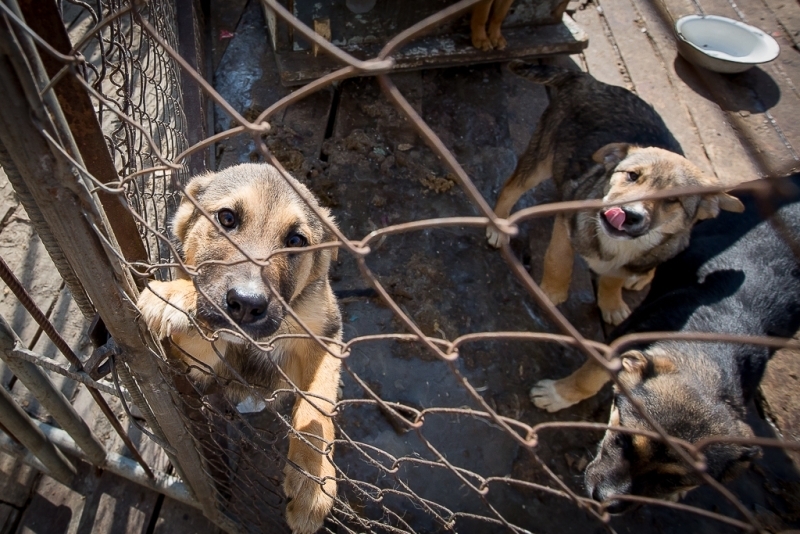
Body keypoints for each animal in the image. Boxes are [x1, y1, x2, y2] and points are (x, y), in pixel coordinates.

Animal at [138, 163, 344, 534]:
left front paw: (313, 480)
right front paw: (179, 294)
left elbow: (316, 408)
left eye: (295, 241)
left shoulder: (326, 335)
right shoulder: (197, 361)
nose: (247, 305)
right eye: (227, 218)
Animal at [488, 65, 744, 328]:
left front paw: (611, 304)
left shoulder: (628, 262)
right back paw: (498, 226)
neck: (619, 244)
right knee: (511, 188)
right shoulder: (567, 220)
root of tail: (589, 80)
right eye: (632, 175)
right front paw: (551, 294)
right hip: (542, 156)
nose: (628, 214)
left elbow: (614, 279)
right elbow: (559, 259)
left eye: (673, 199)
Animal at [532, 179, 800, 510]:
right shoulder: (623, 338)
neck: (709, 354)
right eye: (623, 441)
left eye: (672, 479)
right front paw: (556, 395)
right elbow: (588, 378)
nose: (606, 502)